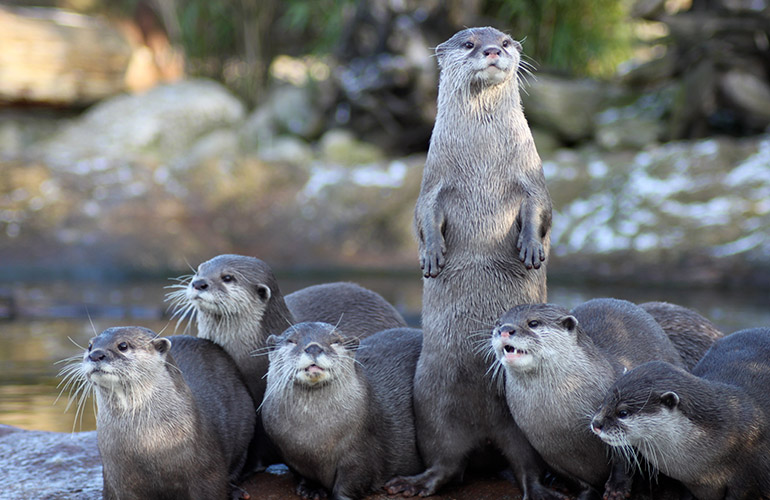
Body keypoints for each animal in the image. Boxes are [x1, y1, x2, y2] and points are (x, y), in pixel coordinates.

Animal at [80, 326, 255, 500]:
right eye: (90, 345)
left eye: (123, 345)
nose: (95, 355)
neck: (148, 447)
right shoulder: (118, 482)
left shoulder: (208, 472)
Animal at [262, 323, 423, 500]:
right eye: (291, 341)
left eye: (335, 341)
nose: (313, 348)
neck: (314, 438)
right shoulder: (291, 455)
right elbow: (302, 474)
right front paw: (312, 489)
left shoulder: (361, 453)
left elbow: (350, 483)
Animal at [386, 27, 555, 499]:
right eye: (469, 43)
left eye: (506, 40)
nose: (493, 50)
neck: (483, 161)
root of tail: (485, 430)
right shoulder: (433, 181)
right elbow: (422, 215)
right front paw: (431, 256)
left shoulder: (532, 176)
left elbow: (541, 210)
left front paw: (532, 250)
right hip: (431, 402)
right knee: (447, 462)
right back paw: (415, 483)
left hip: (518, 423)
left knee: (525, 461)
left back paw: (538, 488)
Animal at [491, 299, 685, 500]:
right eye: (498, 323)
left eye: (533, 323)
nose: (504, 329)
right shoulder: (548, 453)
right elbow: (575, 480)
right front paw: (586, 493)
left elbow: (623, 457)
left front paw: (617, 488)